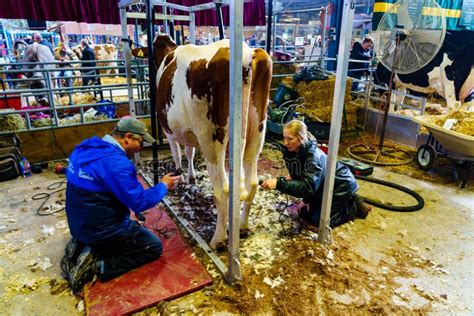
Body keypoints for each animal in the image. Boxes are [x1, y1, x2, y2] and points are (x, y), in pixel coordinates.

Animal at [135, 35, 272, 249]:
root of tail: (247, 54)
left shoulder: (169, 131)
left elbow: (178, 154)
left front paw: (180, 178)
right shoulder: (189, 132)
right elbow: (189, 152)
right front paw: (191, 176)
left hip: (211, 139)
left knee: (223, 189)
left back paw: (218, 239)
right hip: (256, 133)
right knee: (251, 182)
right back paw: (242, 226)